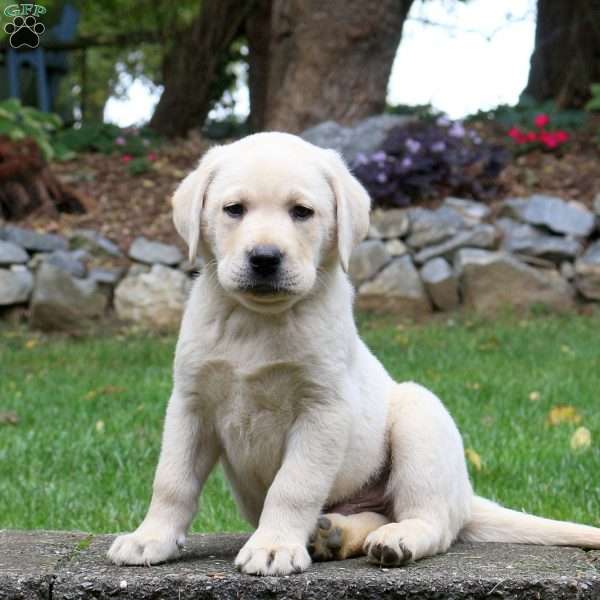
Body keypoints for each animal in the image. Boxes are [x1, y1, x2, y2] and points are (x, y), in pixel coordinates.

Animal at [108, 134, 600, 576]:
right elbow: (171, 481)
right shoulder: (190, 405)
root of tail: (466, 496)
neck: (258, 321)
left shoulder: (322, 409)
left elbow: (294, 486)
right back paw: (335, 534)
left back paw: (397, 538)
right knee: (373, 514)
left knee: (432, 522)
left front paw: (273, 546)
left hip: (419, 416)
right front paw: (150, 538)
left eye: (301, 212)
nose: (265, 258)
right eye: (234, 210)